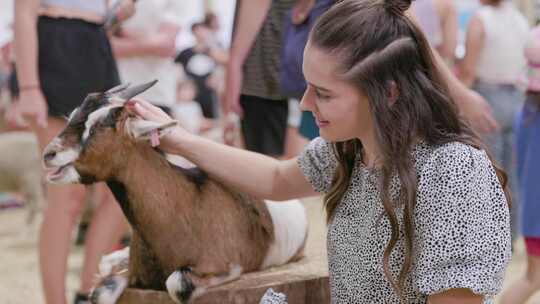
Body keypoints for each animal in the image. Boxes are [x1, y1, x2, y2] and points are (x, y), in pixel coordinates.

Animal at [41, 81, 308, 304]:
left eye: (100, 124)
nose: (49, 154)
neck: (185, 204)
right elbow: (100, 292)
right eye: (72, 116)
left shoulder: (219, 265)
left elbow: (177, 283)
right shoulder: (134, 275)